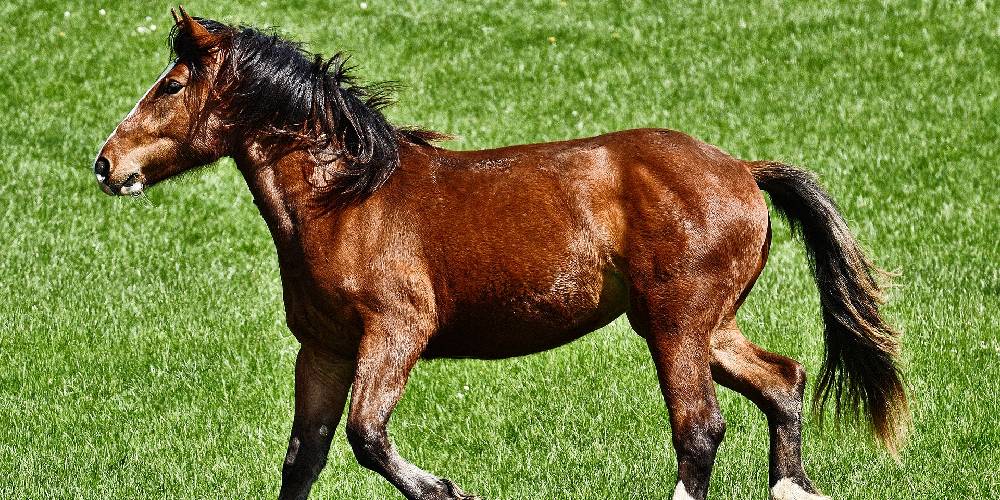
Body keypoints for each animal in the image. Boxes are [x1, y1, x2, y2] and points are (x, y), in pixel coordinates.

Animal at [93, 9, 907, 500]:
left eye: (171, 85)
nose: (106, 165)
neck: (345, 201)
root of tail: (743, 168)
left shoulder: (397, 333)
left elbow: (367, 435)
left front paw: (444, 489)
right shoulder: (323, 350)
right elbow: (306, 459)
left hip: (677, 324)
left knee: (700, 430)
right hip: (700, 324)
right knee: (783, 381)